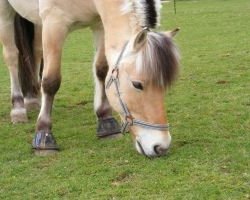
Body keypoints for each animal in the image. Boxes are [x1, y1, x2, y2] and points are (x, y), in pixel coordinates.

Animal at [0, 0, 180, 158]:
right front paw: (44, 135)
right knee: (12, 56)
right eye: (137, 84)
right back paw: (18, 108)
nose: (161, 146)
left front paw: (106, 121)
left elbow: (101, 70)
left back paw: (32, 100)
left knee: (35, 52)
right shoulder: (54, 24)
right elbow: (51, 81)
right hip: (7, 14)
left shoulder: (99, 24)